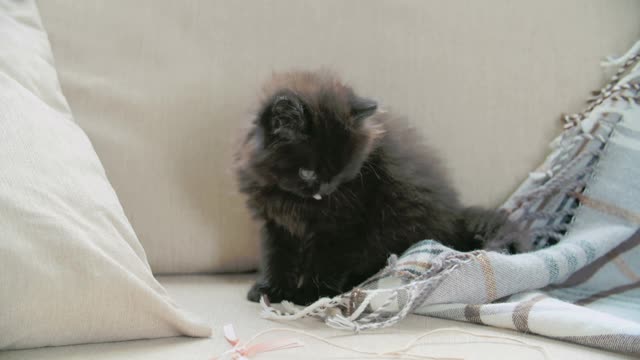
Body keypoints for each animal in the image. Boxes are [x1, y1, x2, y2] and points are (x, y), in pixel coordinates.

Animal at [235, 69, 516, 304]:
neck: (291, 200)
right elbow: (276, 257)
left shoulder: (342, 226)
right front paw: (270, 289)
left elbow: (326, 261)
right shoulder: (275, 224)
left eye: (342, 172)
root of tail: (456, 221)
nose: (325, 190)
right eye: (307, 172)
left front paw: (310, 294)